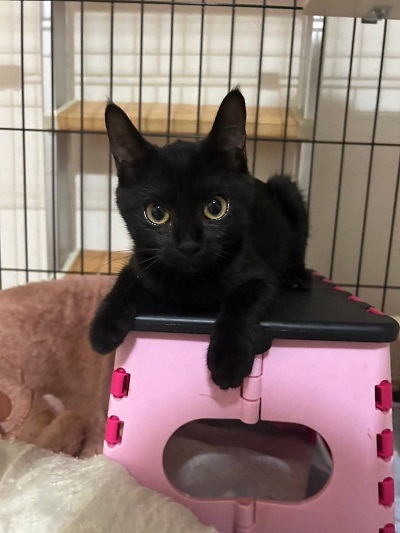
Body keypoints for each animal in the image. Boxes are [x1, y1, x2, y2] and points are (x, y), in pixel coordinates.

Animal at [90, 89, 310, 390]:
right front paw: (104, 327)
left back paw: (298, 276)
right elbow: (126, 280)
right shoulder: (142, 260)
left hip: (287, 190)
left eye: (215, 207)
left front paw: (228, 361)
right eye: (156, 213)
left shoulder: (260, 275)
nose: (188, 245)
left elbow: (241, 303)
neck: (190, 281)